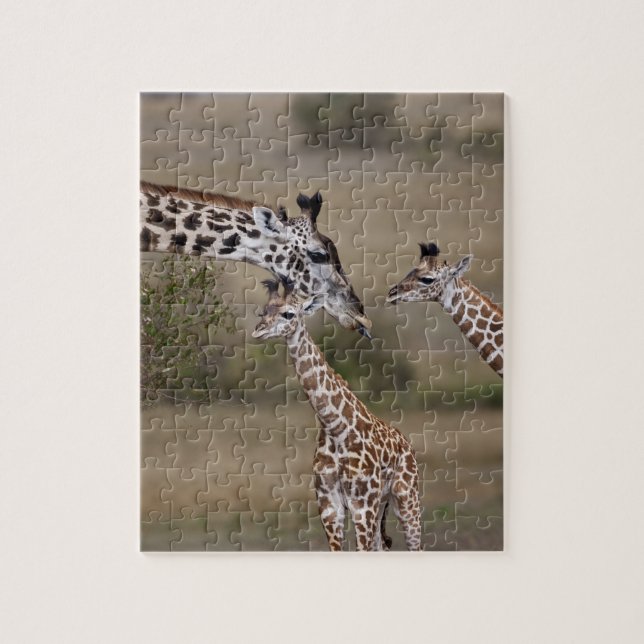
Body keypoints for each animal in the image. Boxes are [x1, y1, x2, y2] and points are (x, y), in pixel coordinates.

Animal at [252, 279, 422, 551]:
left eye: (288, 313)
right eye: (263, 312)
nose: (258, 331)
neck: (335, 427)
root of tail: (406, 444)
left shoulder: (362, 505)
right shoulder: (329, 505)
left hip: (406, 498)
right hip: (382, 505)